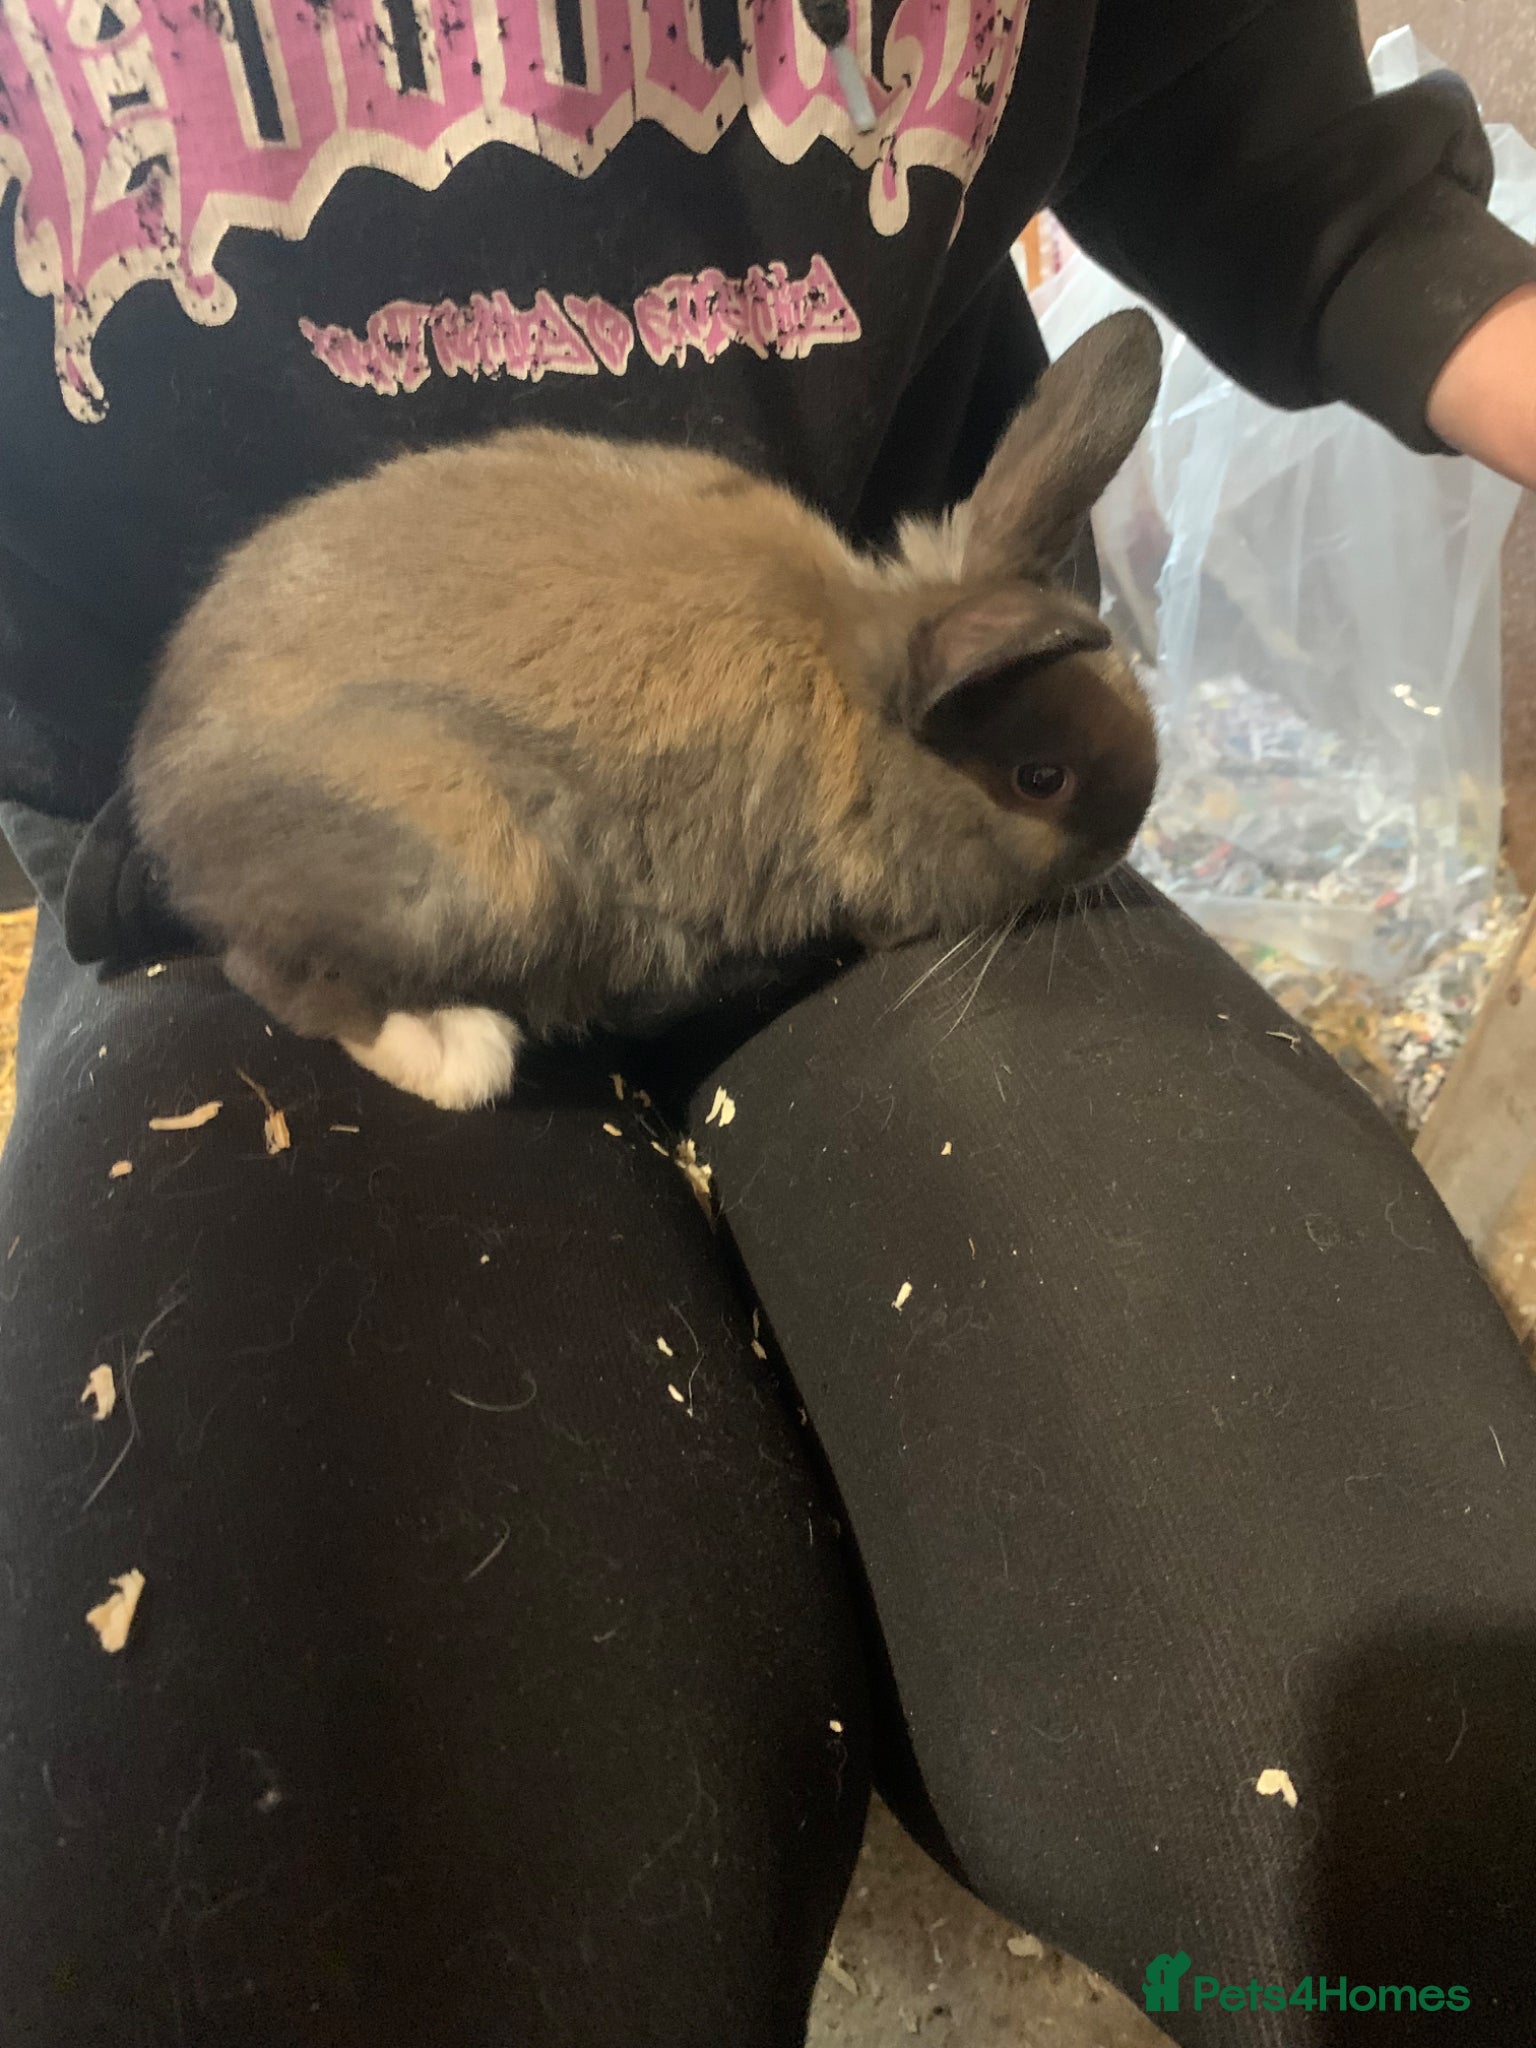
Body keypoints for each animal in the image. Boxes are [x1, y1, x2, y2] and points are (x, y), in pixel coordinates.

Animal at [129, 307, 1162, 1111]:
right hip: (473, 871)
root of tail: (163, 810)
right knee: (279, 977)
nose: (1126, 838)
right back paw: (463, 1051)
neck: (858, 690)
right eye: (1041, 779)